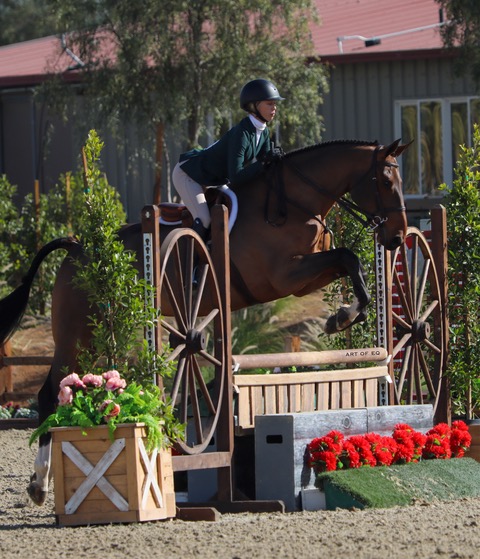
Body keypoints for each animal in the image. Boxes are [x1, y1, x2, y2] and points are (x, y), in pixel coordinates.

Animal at [0, 138, 408, 506]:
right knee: (50, 392)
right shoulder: (284, 276)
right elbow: (348, 256)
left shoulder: (304, 278)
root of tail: (76, 247)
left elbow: (348, 260)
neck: (293, 201)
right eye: (386, 182)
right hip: (78, 331)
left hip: (99, 332)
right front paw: (343, 317)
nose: (397, 237)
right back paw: (39, 485)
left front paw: (345, 315)